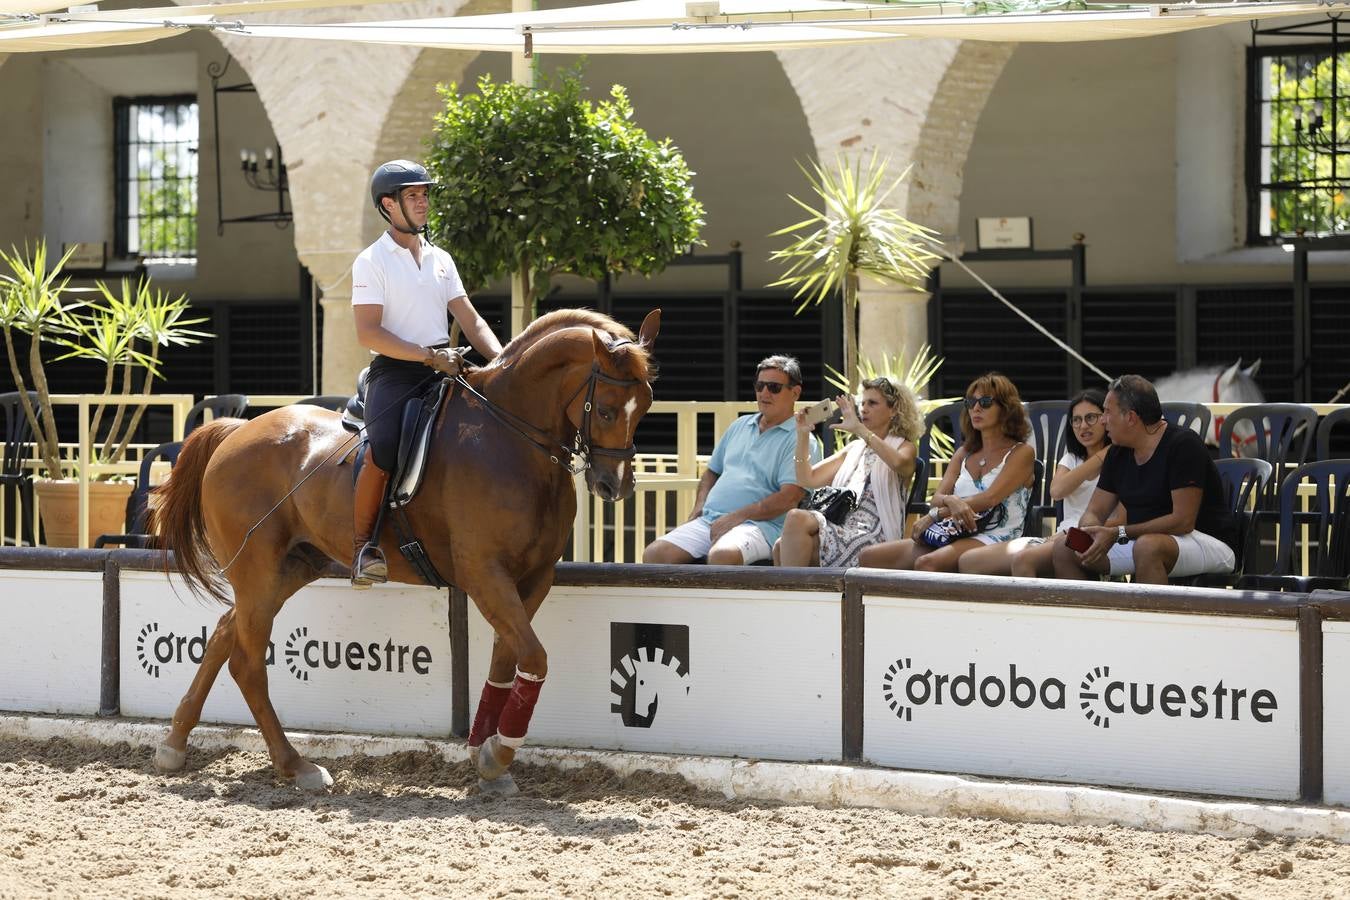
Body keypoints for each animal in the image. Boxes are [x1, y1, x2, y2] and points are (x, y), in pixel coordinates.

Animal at [150, 310, 656, 793]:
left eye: (646, 406)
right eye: (606, 410)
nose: (614, 486)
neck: (510, 441)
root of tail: (238, 430)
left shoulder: (534, 577)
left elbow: (506, 660)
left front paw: (485, 755)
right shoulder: (483, 574)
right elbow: (533, 657)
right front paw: (497, 755)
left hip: (290, 569)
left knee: (222, 634)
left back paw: (174, 743)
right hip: (259, 570)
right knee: (248, 664)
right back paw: (296, 766)